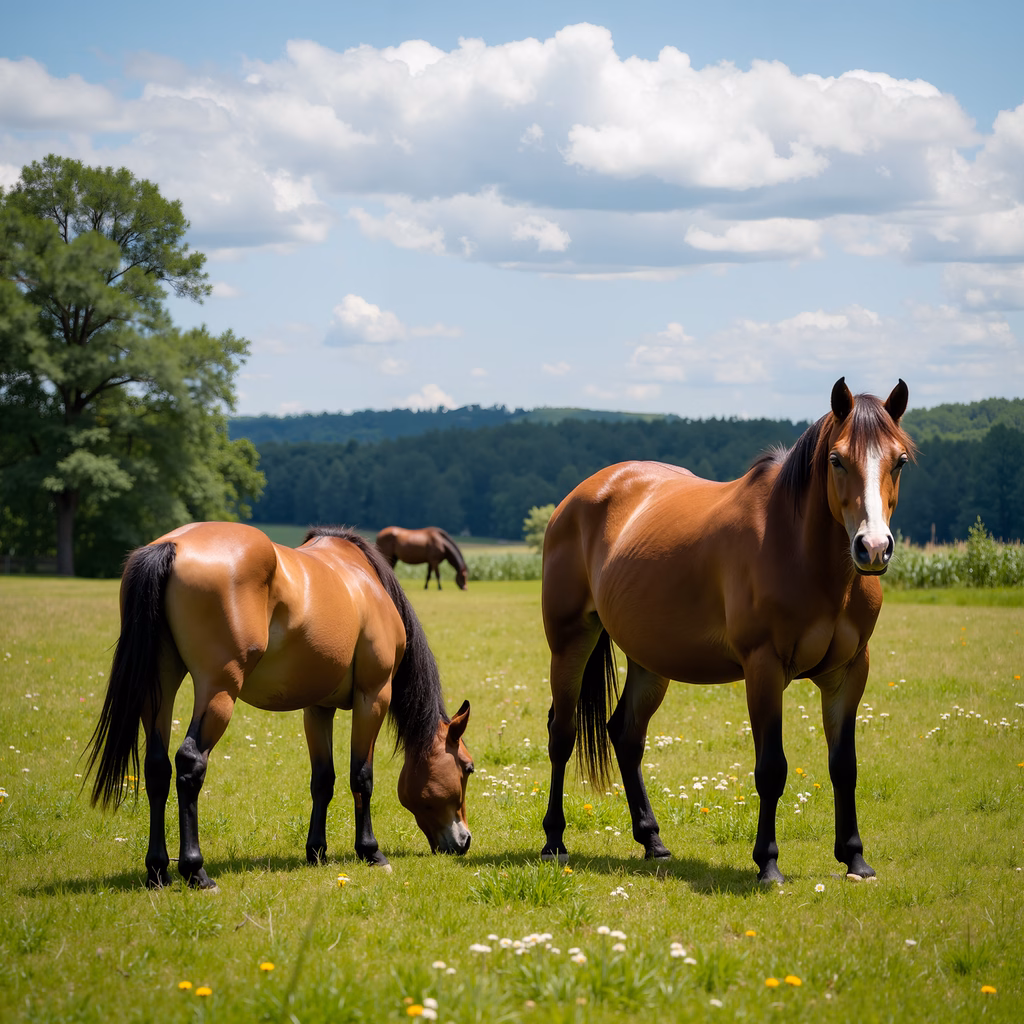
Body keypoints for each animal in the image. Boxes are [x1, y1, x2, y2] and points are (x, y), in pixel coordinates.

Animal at [84, 523, 474, 890]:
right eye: (468, 768)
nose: (465, 840)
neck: (365, 580)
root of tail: (172, 545)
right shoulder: (373, 695)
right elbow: (361, 776)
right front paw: (370, 851)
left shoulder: (318, 708)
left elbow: (323, 780)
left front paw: (316, 852)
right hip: (218, 690)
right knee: (190, 763)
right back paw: (196, 872)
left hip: (160, 684)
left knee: (157, 768)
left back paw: (158, 871)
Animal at [539, 378, 914, 884]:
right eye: (837, 460)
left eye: (899, 460)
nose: (872, 548)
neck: (802, 553)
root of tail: (578, 498)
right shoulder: (764, 669)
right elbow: (771, 768)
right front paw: (768, 864)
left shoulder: (850, 673)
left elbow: (844, 766)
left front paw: (854, 857)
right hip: (569, 643)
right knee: (562, 734)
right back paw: (554, 840)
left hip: (650, 659)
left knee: (626, 734)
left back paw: (652, 841)